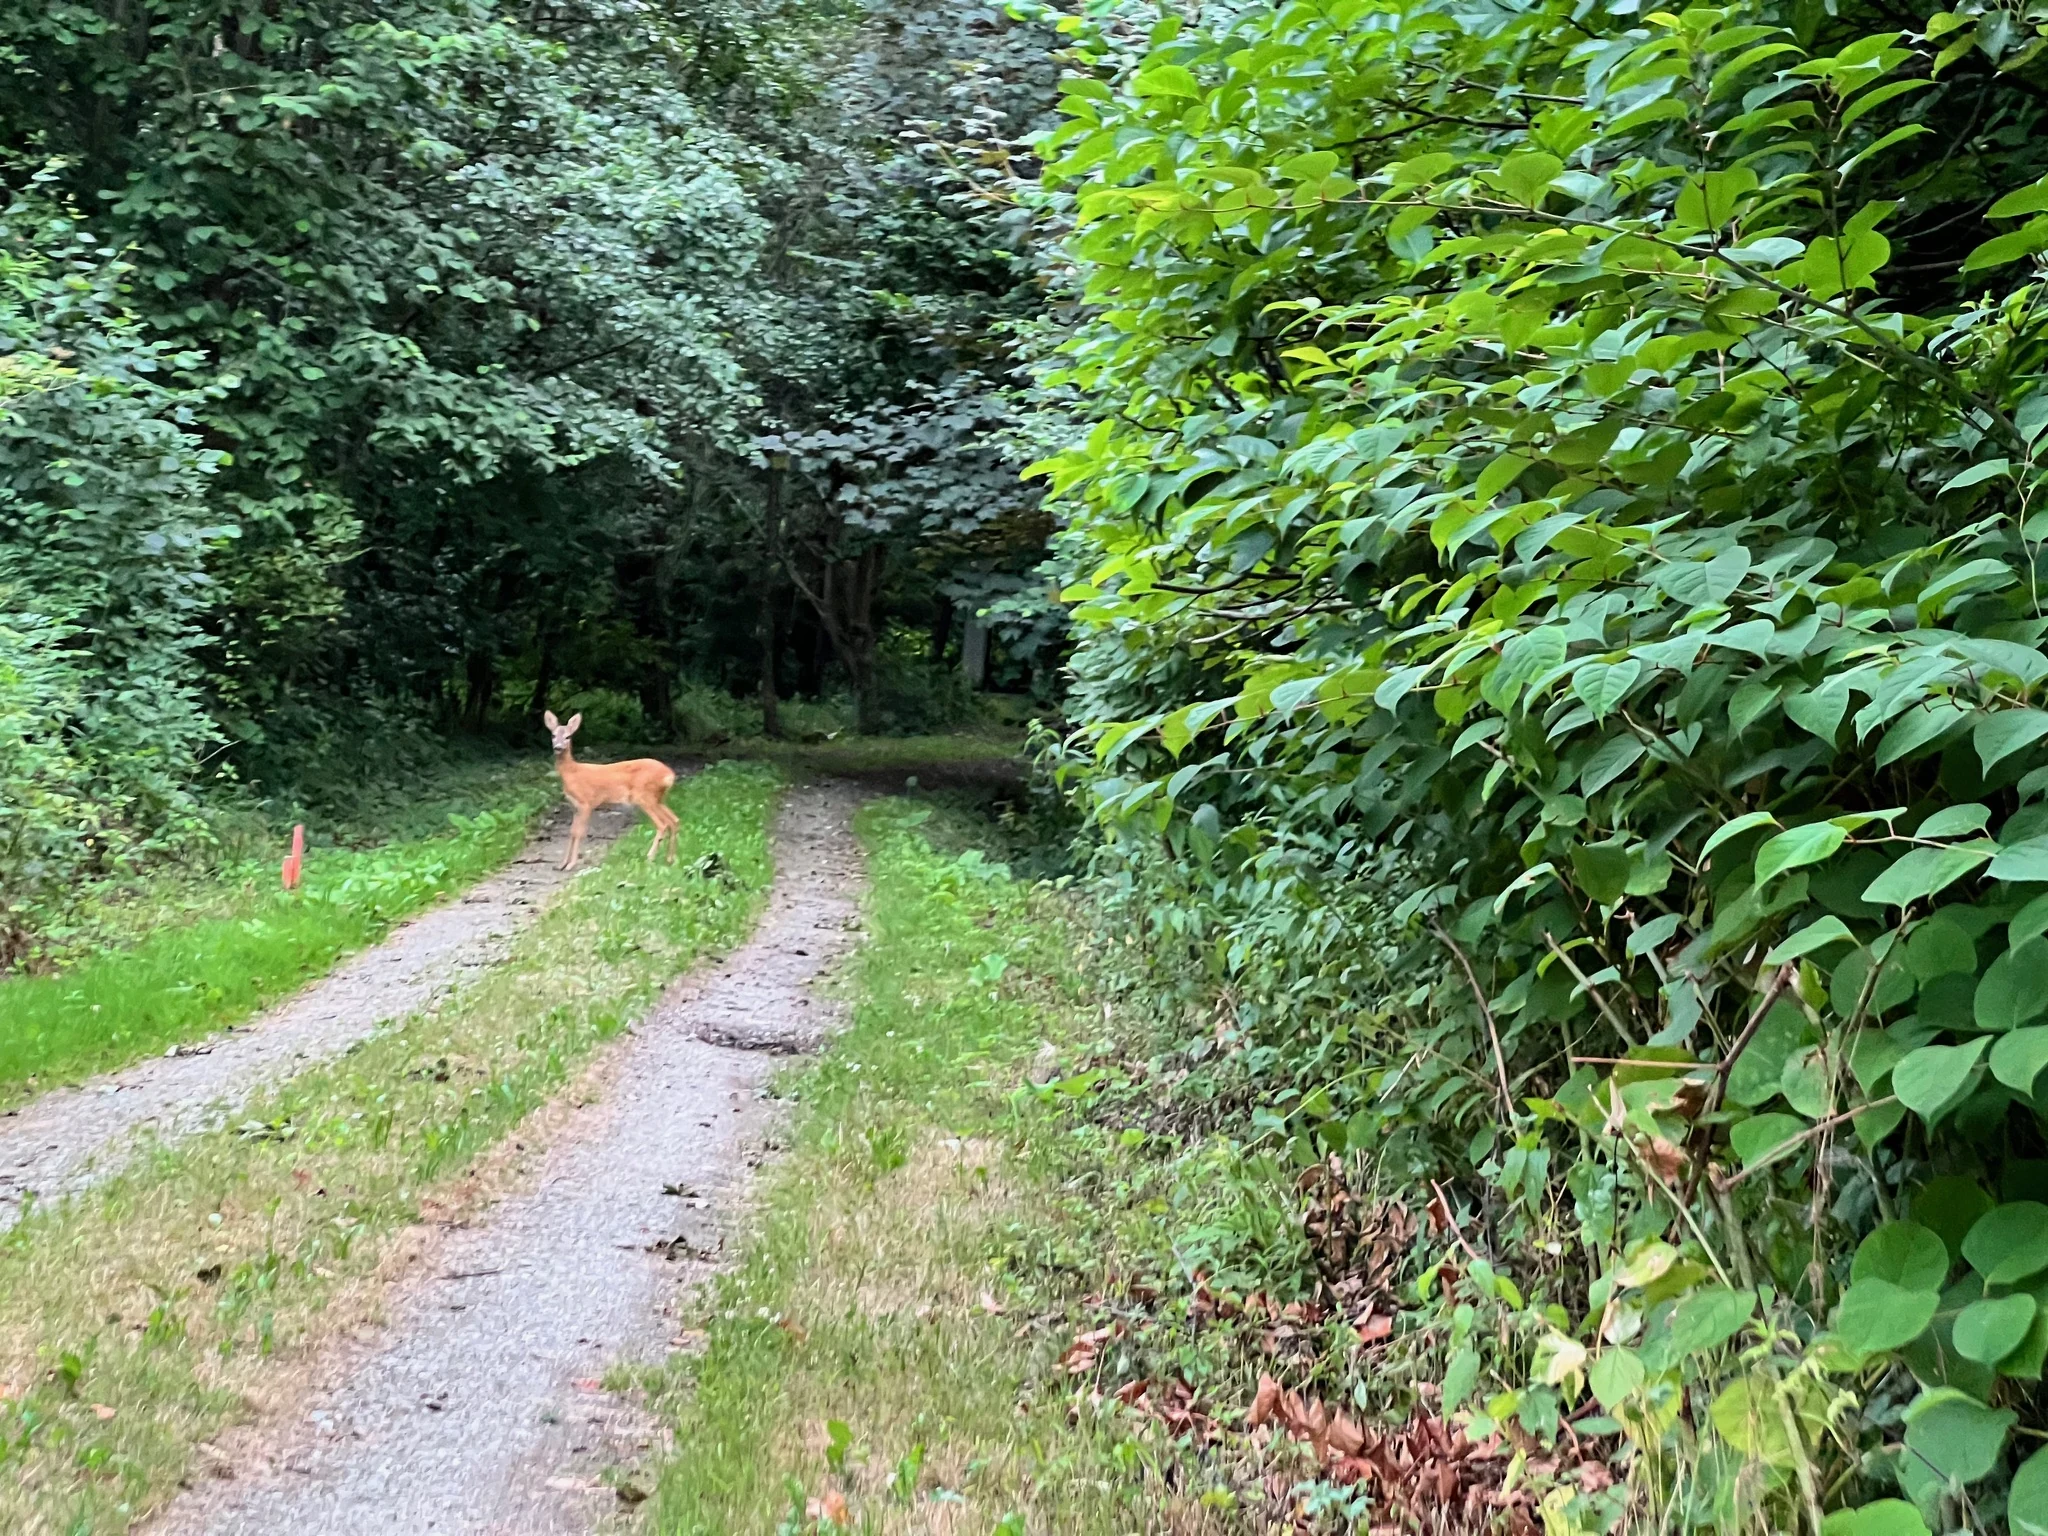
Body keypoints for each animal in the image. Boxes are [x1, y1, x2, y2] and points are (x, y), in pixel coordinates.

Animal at [543, 710, 679, 870]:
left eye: (568, 737)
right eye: (553, 735)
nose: (558, 747)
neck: (572, 773)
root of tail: (669, 775)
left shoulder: (586, 802)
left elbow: (579, 832)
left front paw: (571, 865)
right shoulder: (574, 806)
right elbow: (571, 832)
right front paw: (562, 864)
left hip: (644, 796)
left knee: (663, 824)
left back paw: (650, 857)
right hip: (658, 798)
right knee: (674, 820)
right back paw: (670, 859)